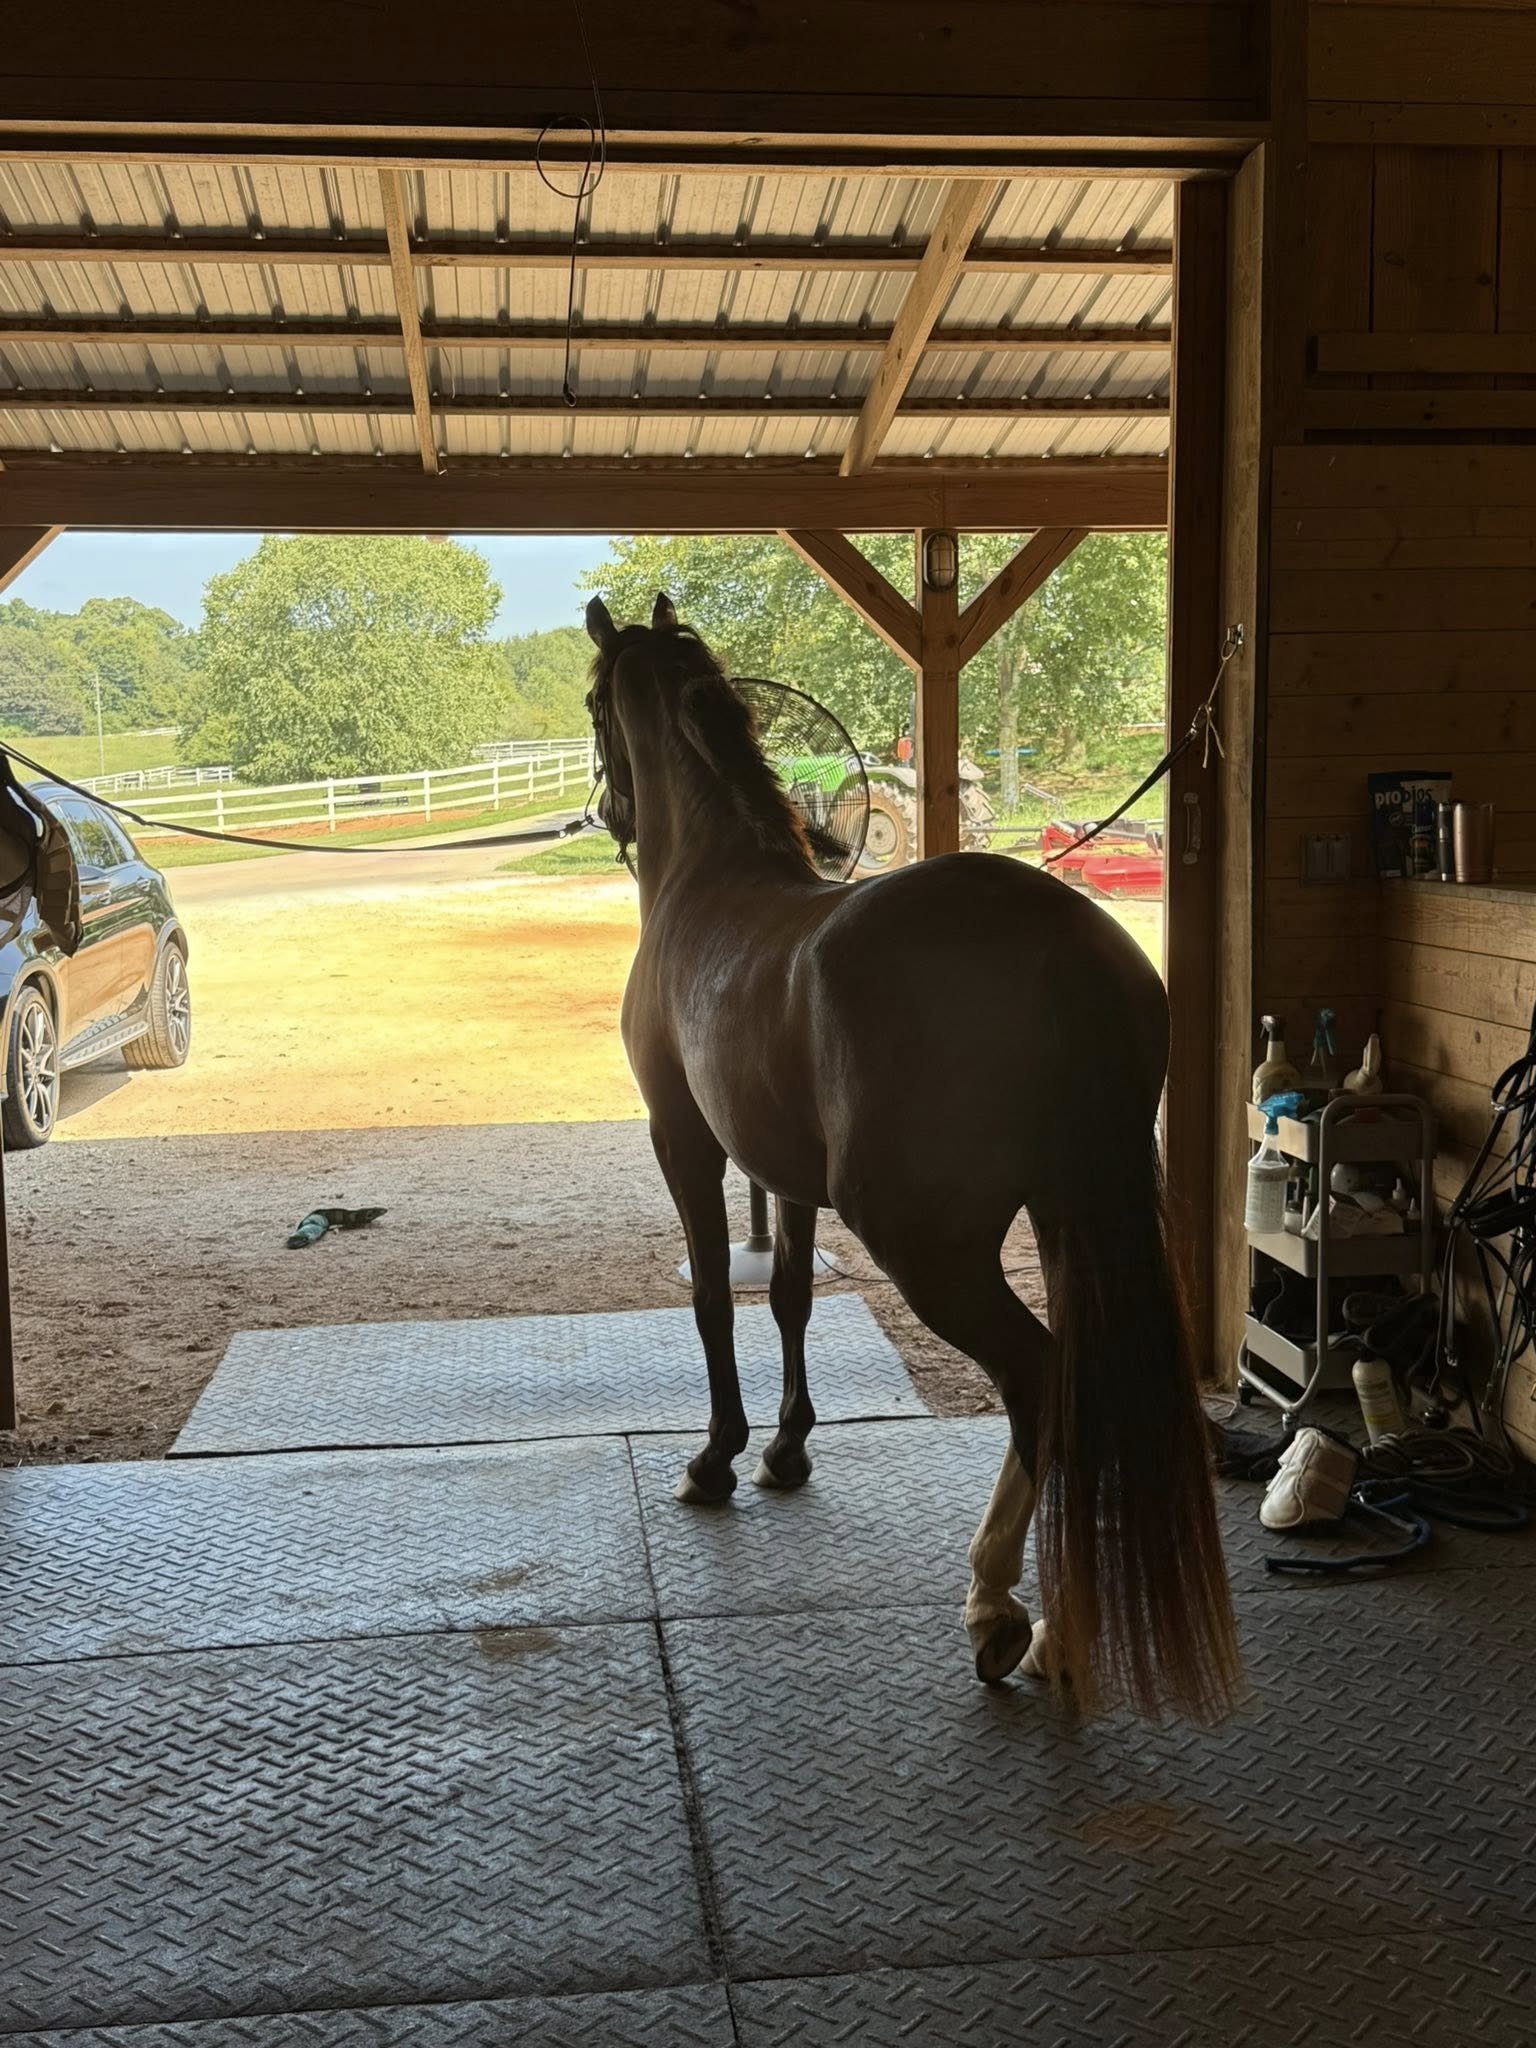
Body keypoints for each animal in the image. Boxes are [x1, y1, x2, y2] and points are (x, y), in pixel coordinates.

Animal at [585, 592, 1241, 1720]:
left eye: (591, 703)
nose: (608, 810)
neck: (710, 881)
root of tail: (1063, 940)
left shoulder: (688, 1143)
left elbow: (714, 1296)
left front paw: (716, 1459)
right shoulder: (785, 1174)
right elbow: (790, 1296)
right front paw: (787, 1448)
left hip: (932, 1247)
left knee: (1038, 1379)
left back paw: (1008, 1614)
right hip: (1067, 1215)